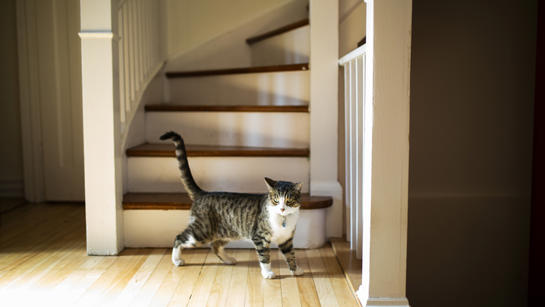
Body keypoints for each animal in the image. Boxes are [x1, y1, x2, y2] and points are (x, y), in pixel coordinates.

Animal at [162, 131, 304, 280]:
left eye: (288, 201)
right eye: (276, 201)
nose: (282, 208)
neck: (283, 220)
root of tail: (203, 193)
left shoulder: (286, 239)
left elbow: (291, 255)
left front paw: (295, 270)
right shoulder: (260, 237)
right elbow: (264, 257)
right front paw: (267, 273)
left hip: (226, 232)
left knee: (215, 245)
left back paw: (228, 259)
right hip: (201, 231)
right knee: (179, 238)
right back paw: (176, 260)